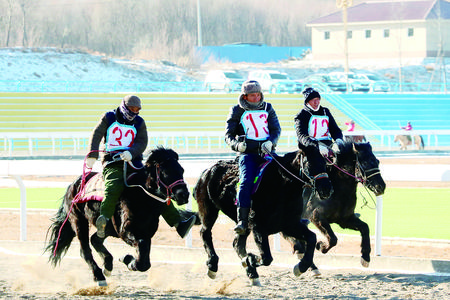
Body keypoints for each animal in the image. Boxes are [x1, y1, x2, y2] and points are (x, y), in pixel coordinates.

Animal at [46, 146, 191, 288]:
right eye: (166, 172)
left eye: (181, 170)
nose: (184, 194)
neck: (141, 196)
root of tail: (73, 185)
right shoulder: (126, 231)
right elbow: (141, 256)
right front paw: (126, 259)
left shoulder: (146, 233)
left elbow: (145, 260)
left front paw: (127, 260)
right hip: (78, 221)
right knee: (85, 250)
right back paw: (99, 276)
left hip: (106, 228)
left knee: (95, 239)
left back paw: (108, 265)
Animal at [193, 145, 334, 286]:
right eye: (309, 163)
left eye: (324, 163)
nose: (326, 188)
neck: (280, 186)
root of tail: (207, 172)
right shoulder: (258, 227)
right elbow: (266, 258)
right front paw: (249, 260)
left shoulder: (290, 225)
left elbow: (312, 238)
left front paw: (301, 267)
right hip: (208, 210)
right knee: (205, 233)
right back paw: (213, 266)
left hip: (243, 226)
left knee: (237, 244)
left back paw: (252, 274)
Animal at [298, 141, 384, 270]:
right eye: (365, 163)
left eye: (377, 161)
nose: (381, 187)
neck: (337, 188)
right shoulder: (316, 217)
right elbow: (333, 239)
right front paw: (321, 246)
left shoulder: (345, 219)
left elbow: (365, 228)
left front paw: (365, 257)